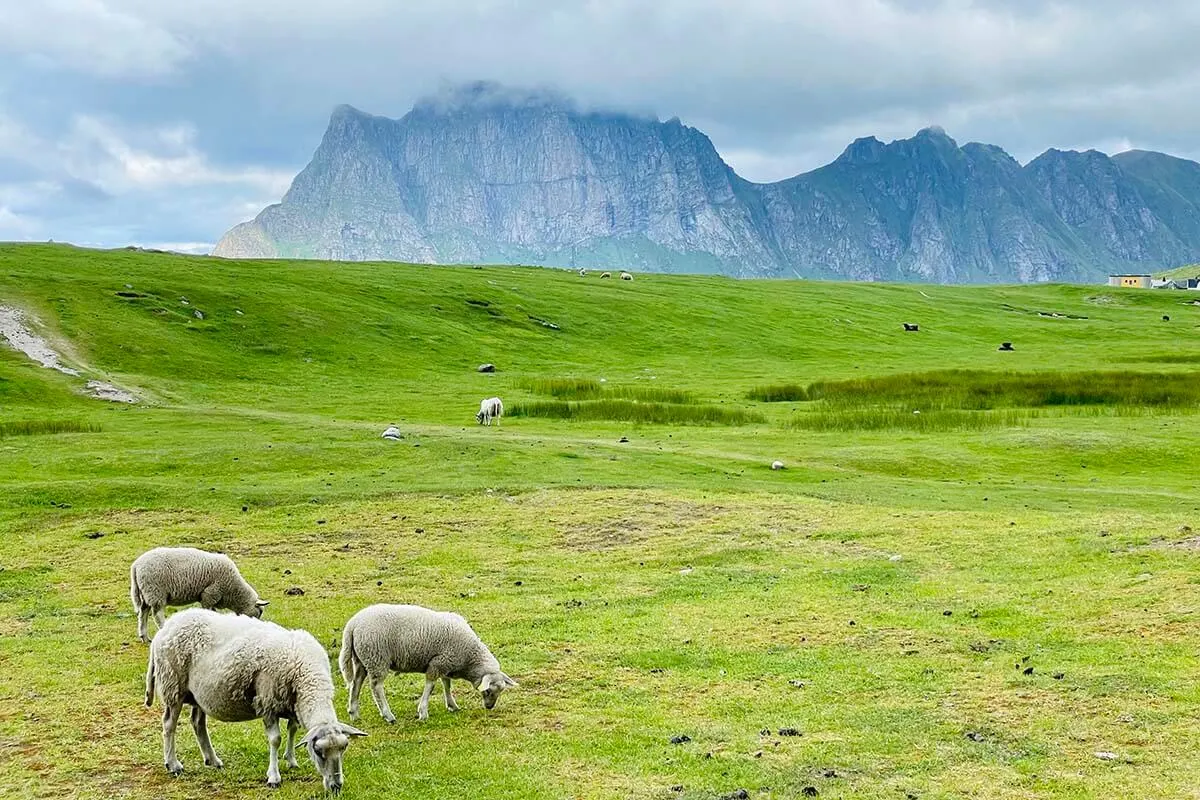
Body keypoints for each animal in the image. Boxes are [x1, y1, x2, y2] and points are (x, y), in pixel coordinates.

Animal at [133, 544, 270, 642]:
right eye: (260, 612)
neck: (234, 591)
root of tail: (136, 565)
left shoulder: (212, 598)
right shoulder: (210, 594)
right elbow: (208, 611)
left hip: (146, 592)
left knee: (143, 612)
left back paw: (144, 637)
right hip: (156, 591)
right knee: (157, 614)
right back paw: (162, 629)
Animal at [144, 609, 364, 791]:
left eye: (343, 748)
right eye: (318, 752)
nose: (336, 786)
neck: (306, 675)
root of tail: (166, 627)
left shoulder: (292, 703)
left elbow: (293, 730)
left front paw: (291, 760)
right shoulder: (267, 702)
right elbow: (275, 740)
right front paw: (274, 777)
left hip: (198, 693)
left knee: (197, 723)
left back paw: (212, 760)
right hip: (173, 685)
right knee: (169, 724)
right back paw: (173, 764)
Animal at [338, 604, 516, 724]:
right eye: (488, 691)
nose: (489, 707)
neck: (470, 657)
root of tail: (352, 625)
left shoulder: (445, 663)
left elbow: (446, 684)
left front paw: (452, 705)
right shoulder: (437, 663)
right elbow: (431, 687)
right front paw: (423, 712)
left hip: (362, 659)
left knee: (356, 684)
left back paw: (354, 713)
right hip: (377, 657)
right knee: (376, 687)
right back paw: (388, 715)